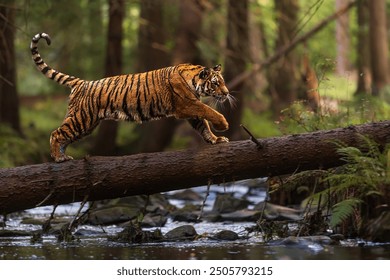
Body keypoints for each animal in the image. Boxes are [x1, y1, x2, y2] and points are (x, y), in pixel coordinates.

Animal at [30, 33, 233, 163]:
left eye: (222, 82)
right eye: (216, 83)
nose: (226, 93)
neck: (194, 81)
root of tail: (82, 82)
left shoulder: (191, 109)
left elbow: (203, 125)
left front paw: (215, 139)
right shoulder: (186, 105)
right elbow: (209, 111)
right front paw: (223, 125)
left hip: (87, 124)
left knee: (64, 135)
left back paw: (62, 156)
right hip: (82, 119)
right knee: (56, 133)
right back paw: (58, 158)